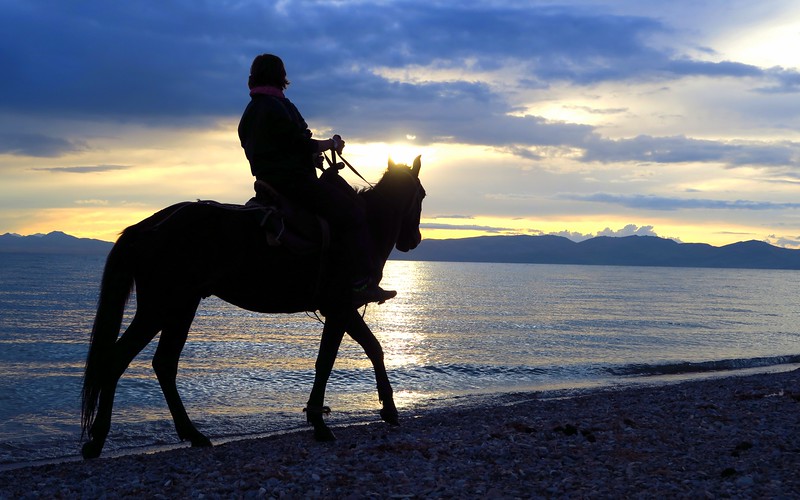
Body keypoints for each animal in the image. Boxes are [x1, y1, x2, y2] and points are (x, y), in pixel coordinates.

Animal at [82, 156, 428, 458]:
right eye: (422, 195)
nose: (413, 240)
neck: (367, 226)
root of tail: (147, 227)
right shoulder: (340, 306)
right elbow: (328, 361)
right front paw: (320, 422)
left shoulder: (342, 309)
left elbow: (373, 348)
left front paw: (388, 408)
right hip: (160, 306)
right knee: (119, 359)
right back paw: (98, 439)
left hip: (181, 306)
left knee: (163, 364)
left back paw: (192, 434)